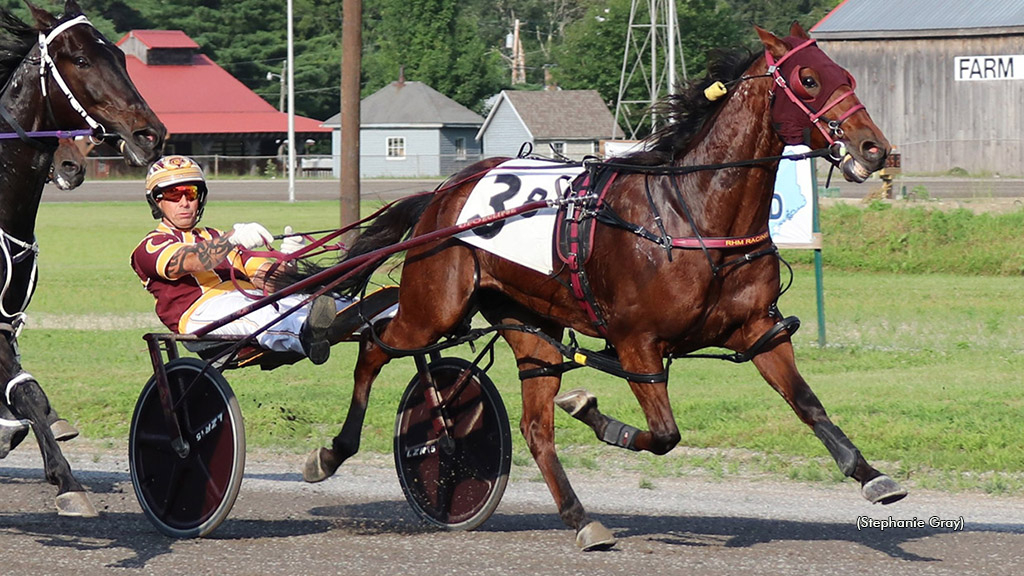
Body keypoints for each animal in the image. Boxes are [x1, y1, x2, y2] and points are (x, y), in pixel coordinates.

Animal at [301, 23, 905, 545]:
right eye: (809, 79)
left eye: (845, 75)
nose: (875, 148)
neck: (693, 214)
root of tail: (444, 192)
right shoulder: (638, 344)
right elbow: (664, 434)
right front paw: (596, 416)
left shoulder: (759, 330)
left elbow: (808, 404)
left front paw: (870, 474)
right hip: (433, 307)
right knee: (373, 350)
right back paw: (330, 436)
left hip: (529, 326)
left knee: (534, 426)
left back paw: (580, 518)